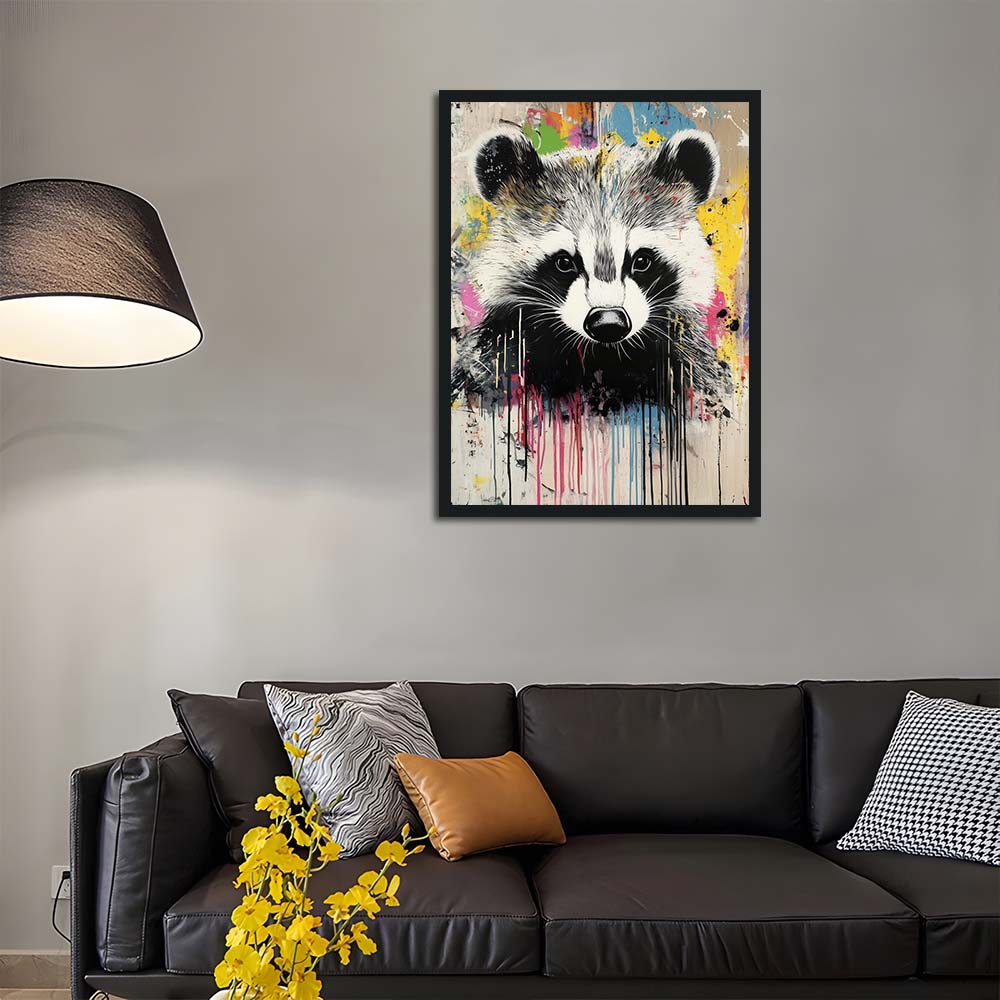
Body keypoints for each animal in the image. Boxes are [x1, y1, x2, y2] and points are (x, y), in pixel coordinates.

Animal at [453, 127, 729, 412]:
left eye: (641, 261)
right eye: (564, 262)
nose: (608, 322)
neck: (602, 356)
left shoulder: (683, 356)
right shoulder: (502, 348)